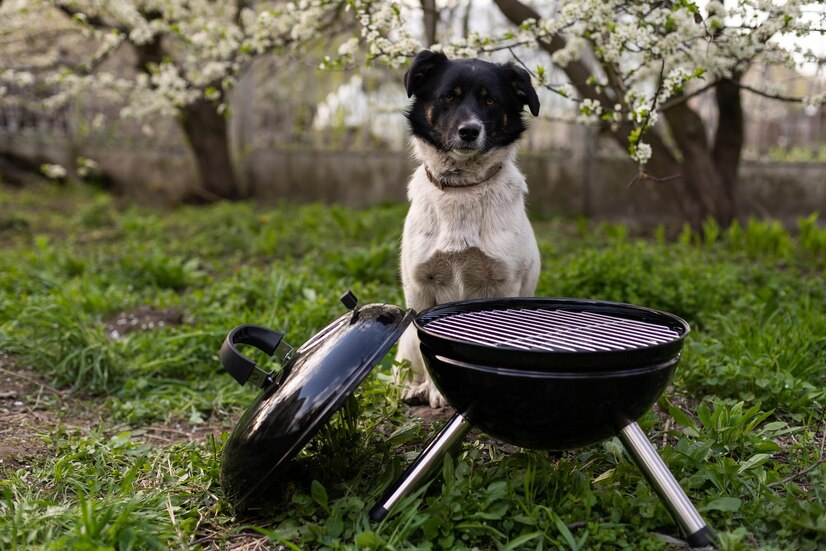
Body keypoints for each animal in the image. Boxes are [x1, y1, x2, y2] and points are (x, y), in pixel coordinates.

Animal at [394, 49, 540, 408]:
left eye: (490, 100)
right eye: (448, 96)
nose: (469, 131)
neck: (462, 189)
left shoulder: (502, 284)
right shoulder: (420, 286)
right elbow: (426, 350)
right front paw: (436, 392)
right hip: (404, 339)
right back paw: (414, 388)